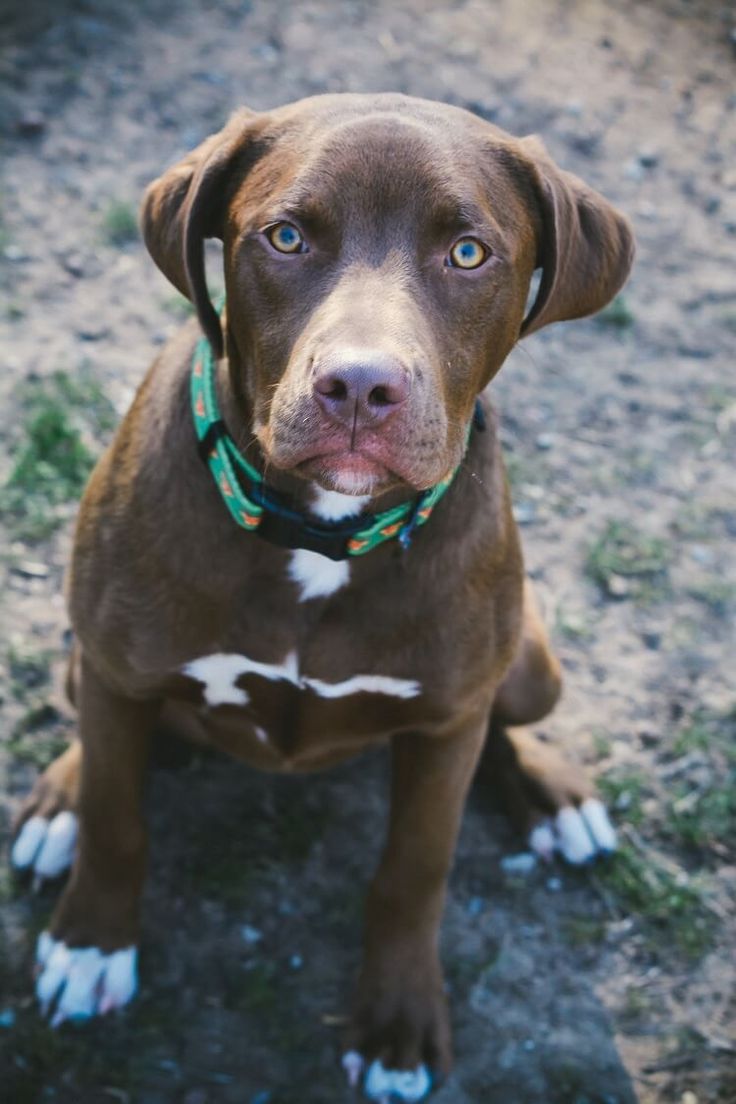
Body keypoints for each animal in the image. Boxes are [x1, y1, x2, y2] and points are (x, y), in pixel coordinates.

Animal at [11, 97, 635, 1104]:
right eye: (287, 237)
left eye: (470, 252)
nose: (360, 386)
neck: (324, 539)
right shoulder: (118, 669)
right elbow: (116, 817)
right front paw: (91, 942)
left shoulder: (446, 724)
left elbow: (415, 871)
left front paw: (397, 1024)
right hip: (92, 659)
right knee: (98, 737)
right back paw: (57, 804)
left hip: (531, 664)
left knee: (506, 717)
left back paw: (551, 795)